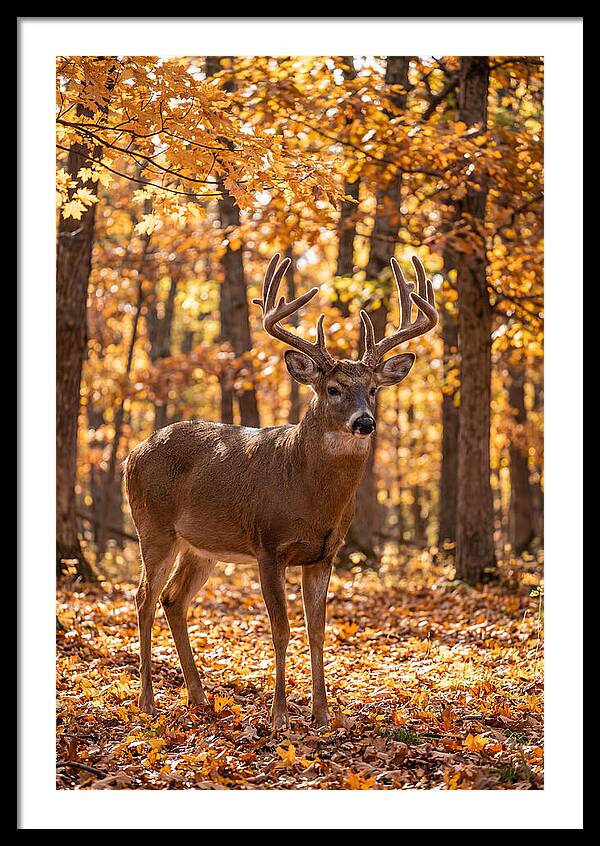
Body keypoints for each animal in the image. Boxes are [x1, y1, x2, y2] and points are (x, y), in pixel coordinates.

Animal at [125, 252, 438, 730]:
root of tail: (132, 454)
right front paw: (279, 716)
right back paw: (147, 702)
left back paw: (199, 698)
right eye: (333, 389)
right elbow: (281, 629)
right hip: (153, 528)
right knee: (144, 597)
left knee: (173, 600)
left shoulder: (325, 553)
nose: (365, 422)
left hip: (201, 546)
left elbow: (317, 630)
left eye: (373, 389)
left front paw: (322, 714)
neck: (308, 493)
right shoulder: (268, 545)